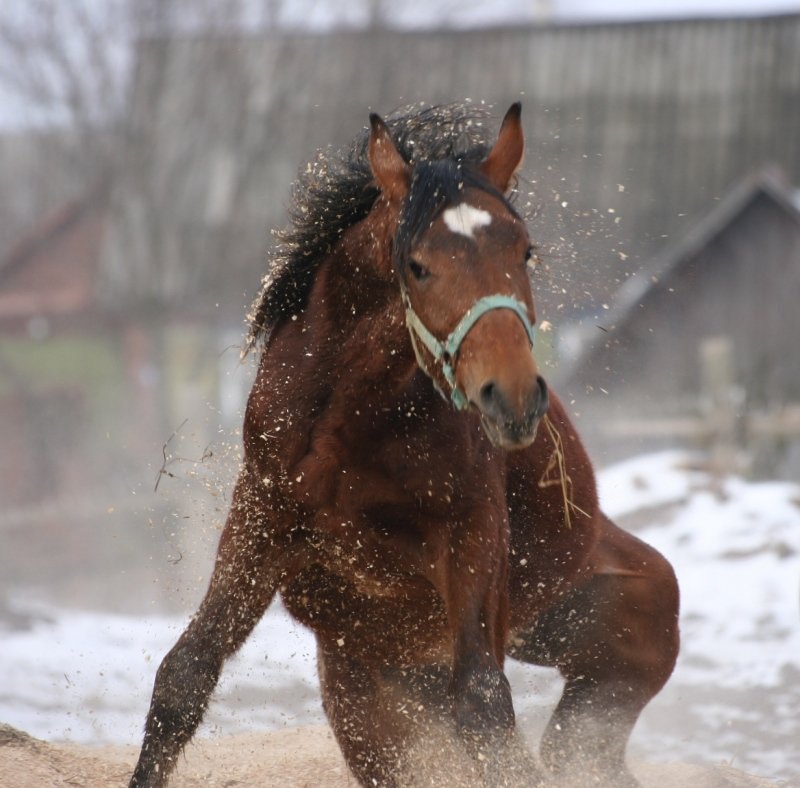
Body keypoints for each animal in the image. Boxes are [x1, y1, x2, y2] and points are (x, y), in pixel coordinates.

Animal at [128, 104, 680, 788]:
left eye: (524, 251)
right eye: (417, 265)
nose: (513, 398)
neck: (349, 421)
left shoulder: (471, 532)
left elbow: (485, 707)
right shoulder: (260, 519)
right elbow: (187, 675)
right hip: (366, 703)